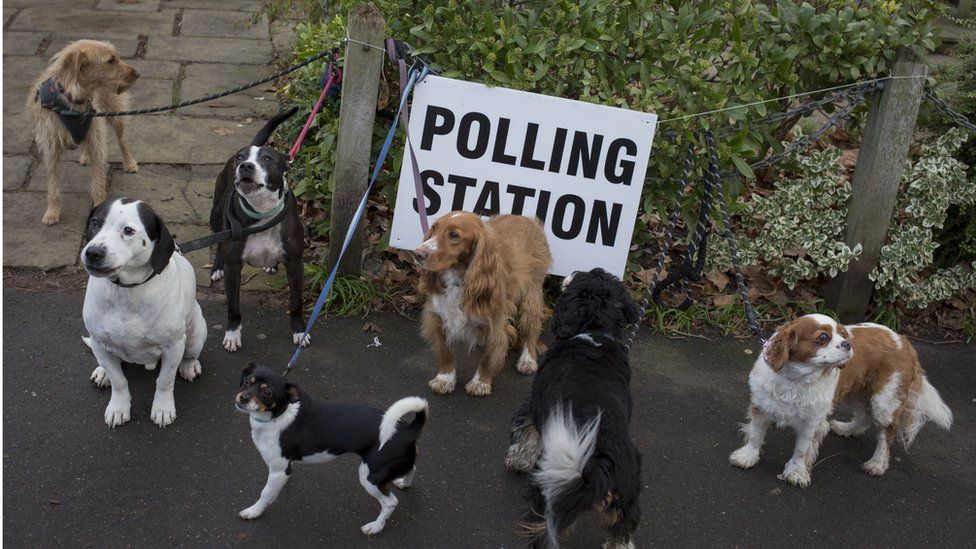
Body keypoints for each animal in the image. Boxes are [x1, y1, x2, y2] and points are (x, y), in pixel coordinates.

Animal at [26, 39, 139, 225]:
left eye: (117, 57)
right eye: (110, 60)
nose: (137, 73)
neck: (73, 100)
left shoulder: (97, 139)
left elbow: (98, 178)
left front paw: (100, 204)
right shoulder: (51, 148)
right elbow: (52, 183)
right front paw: (52, 211)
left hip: (113, 112)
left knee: (122, 139)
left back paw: (129, 163)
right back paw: (86, 156)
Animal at [210, 108, 304, 352]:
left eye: (268, 159)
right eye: (240, 158)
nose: (245, 166)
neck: (263, 213)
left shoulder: (295, 264)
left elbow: (297, 303)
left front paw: (300, 331)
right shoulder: (234, 267)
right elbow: (233, 307)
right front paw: (232, 334)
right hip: (216, 216)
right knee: (217, 240)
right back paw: (216, 266)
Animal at [235, 364, 428, 536]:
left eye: (267, 392)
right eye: (247, 381)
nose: (242, 398)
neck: (277, 416)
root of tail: (408, 429)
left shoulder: (278, 471)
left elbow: (265, 493)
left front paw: (254, 511)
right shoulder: (283, 470)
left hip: (370, 476)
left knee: (390, 503)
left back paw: (375, 527)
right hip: (392, 467)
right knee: (413, 468)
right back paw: (404, 483)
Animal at [508, 268, 644, 548]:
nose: (574, 272)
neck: (593, 334)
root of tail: (596, 467)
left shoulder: (532, 406)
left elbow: (524, 435)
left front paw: (516, 461)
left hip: (547, 490)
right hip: (626, 497)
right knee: (622, 530)